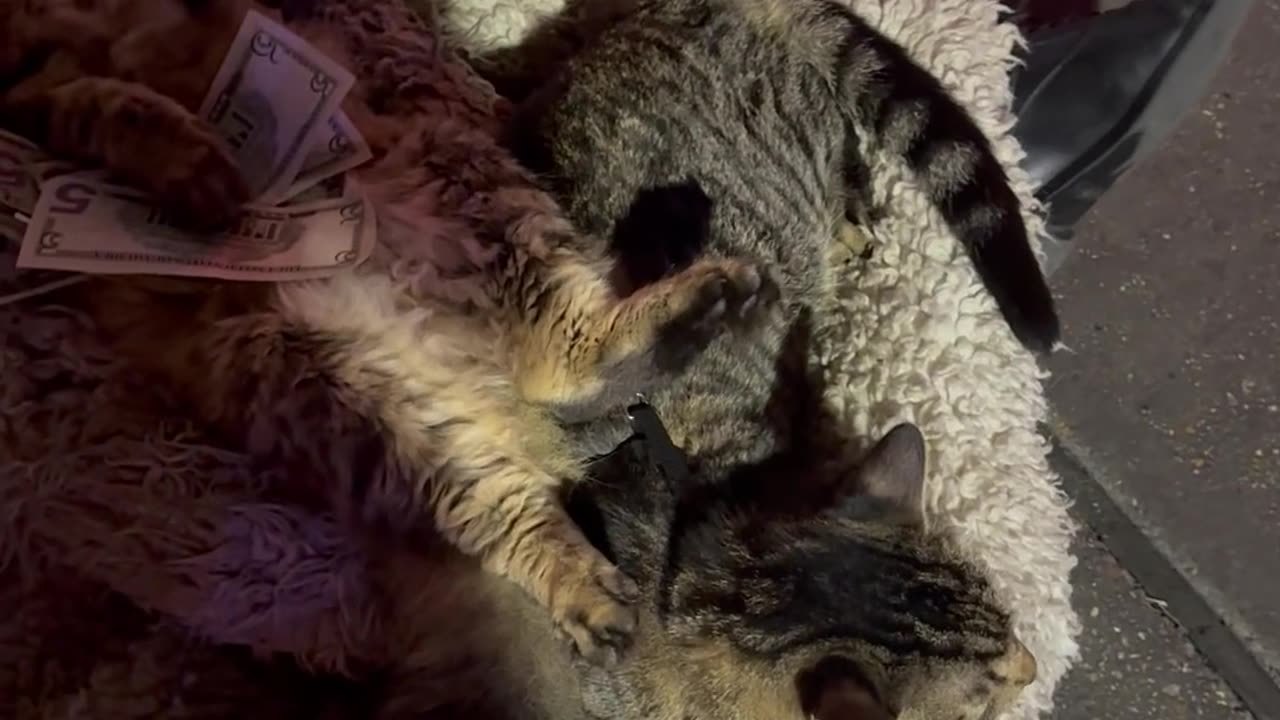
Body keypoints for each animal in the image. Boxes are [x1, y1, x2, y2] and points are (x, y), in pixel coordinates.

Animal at [5, 0, 773, 655]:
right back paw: (588, 593)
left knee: (559, 366)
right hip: (333, 398)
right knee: (499, 496)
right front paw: (193, 166)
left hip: (452, 179)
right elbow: (104, 106)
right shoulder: (31, 89)